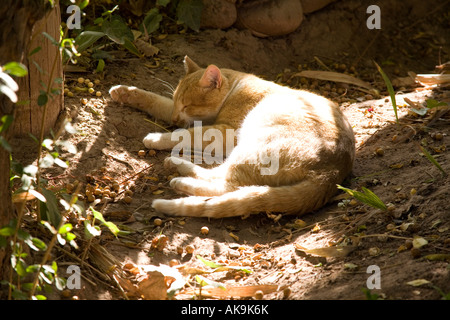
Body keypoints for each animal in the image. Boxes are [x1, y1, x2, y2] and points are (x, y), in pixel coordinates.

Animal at [109, 56, 356, 219]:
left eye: (188, 105)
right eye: (178, 103)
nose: (175, 118)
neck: (237, 87)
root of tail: (331, 173)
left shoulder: (225, 131)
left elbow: (185, 134)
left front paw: (156, 137)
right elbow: (157, 101)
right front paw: (125, 92)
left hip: (253, 146)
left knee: (228, 185)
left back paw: (180, 180)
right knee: (221, 176)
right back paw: (177, 164)